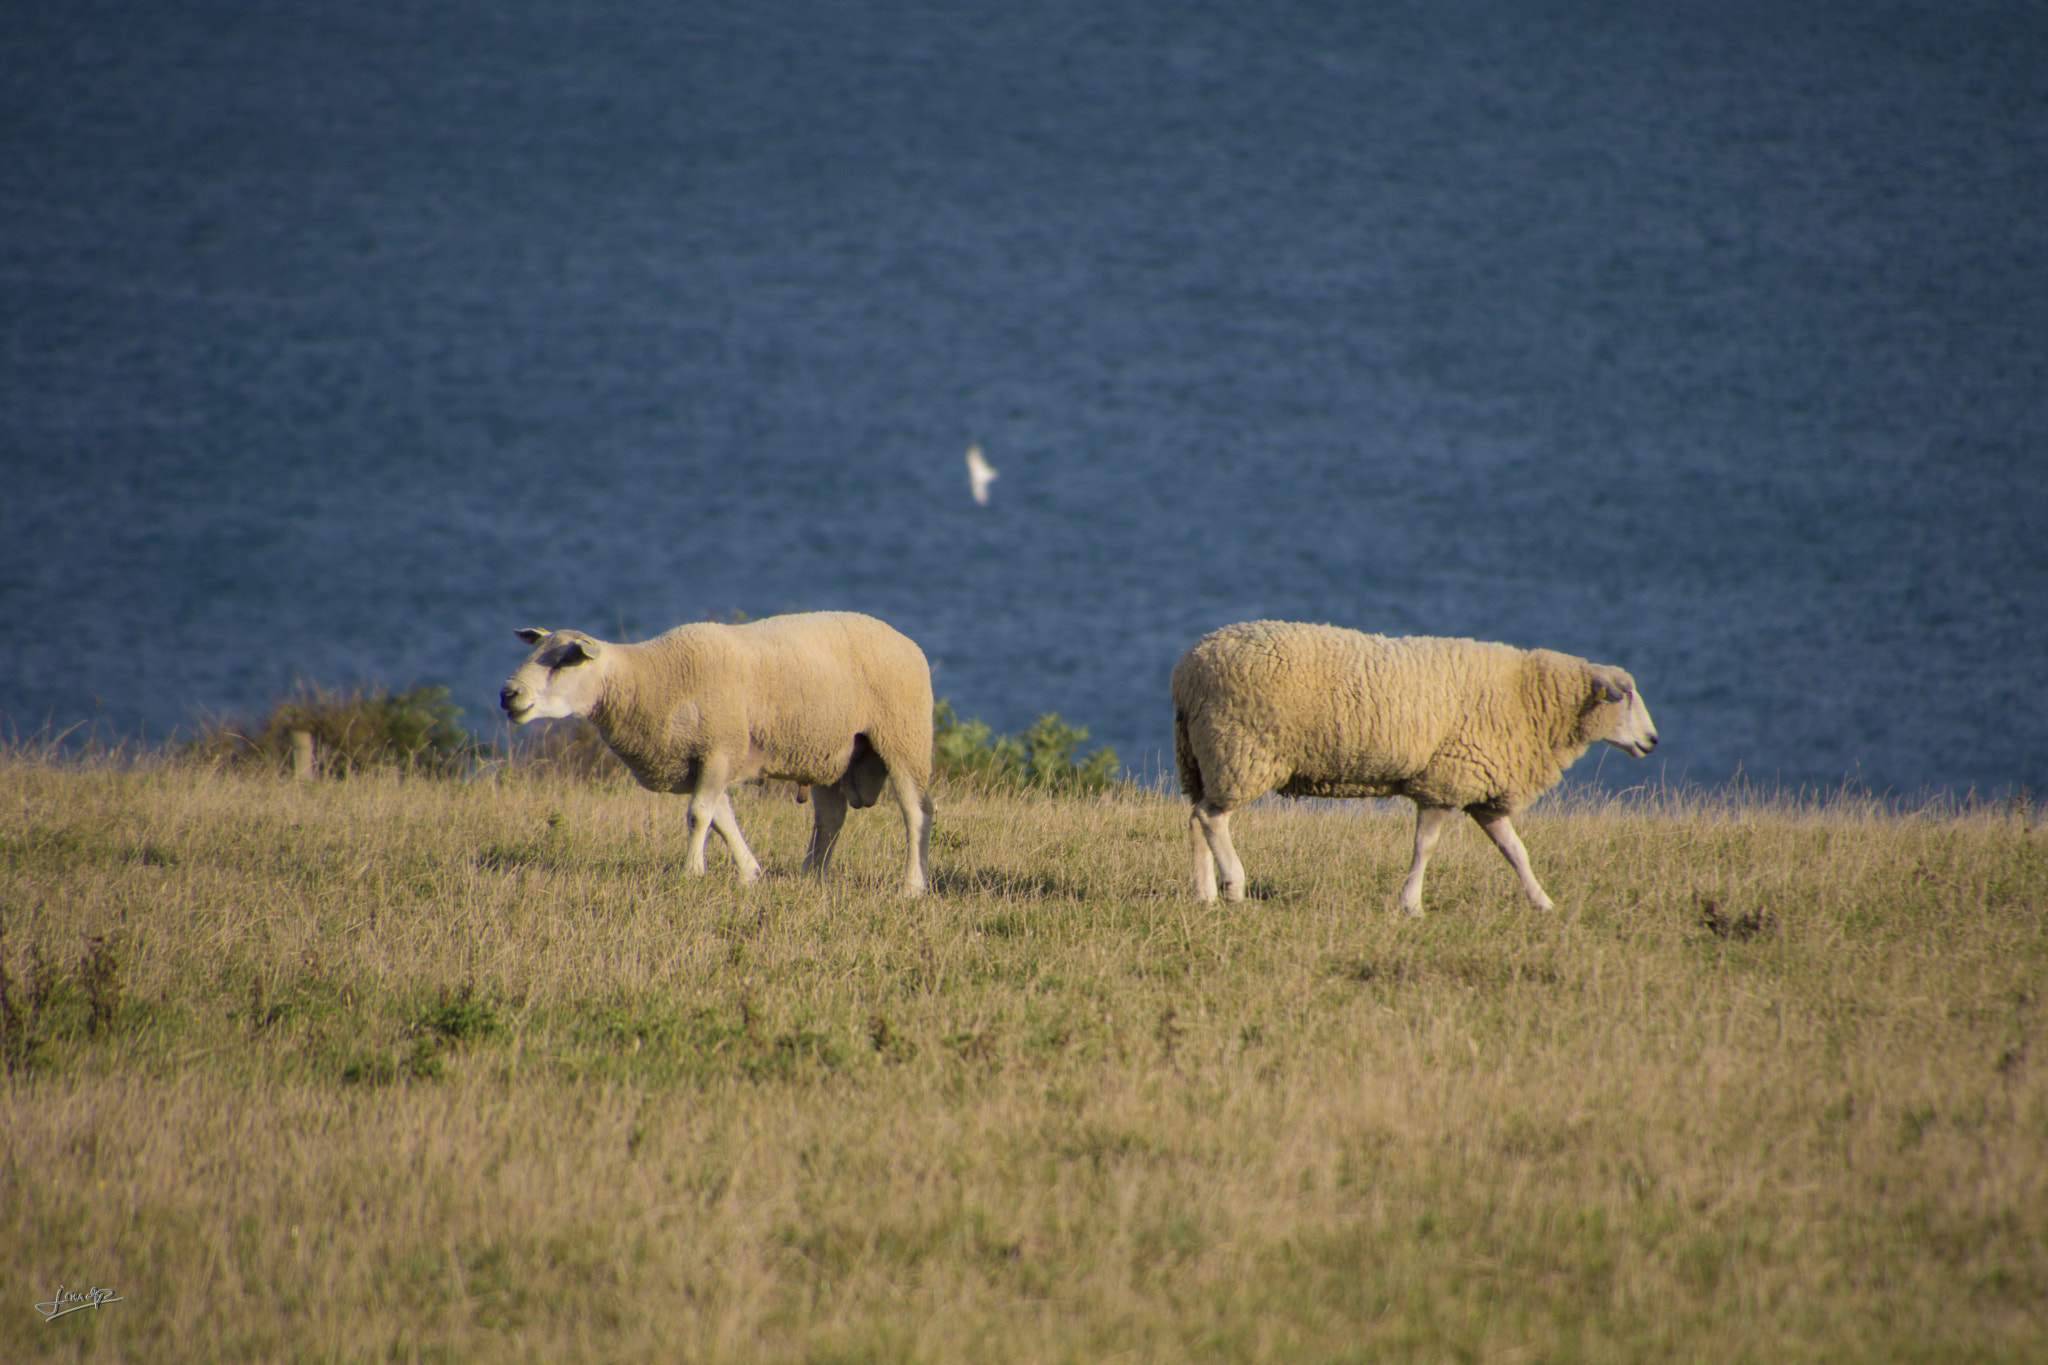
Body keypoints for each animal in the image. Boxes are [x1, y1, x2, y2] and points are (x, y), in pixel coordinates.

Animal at [503, 609, 937, 896]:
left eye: (566, 661)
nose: (509, 694)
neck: (651, 681)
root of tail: (906, 641)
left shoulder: (719, 750)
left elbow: (699, 815)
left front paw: (691, 872)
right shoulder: (706, 761)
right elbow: (721, 818)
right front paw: (750, 873)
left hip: (903, 738)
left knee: (917, 813)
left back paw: (913, 884)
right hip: (827, 752)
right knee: (830, 819)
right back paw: (812, 876)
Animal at [1179, 618, 1654, 916]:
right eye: (1626, 695)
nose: (1651, 741)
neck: (1527, 698)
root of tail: (1189, 666)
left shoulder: (1482, 791)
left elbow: (1516, 851)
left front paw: (1543, 903)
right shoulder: (1444, 782)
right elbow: (1424, 847)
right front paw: (1411, 904)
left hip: (1205, 757)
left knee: (1197, 817)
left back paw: (1204, 893)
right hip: (1242, 752)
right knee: (1212, 818)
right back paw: (1234, 886)